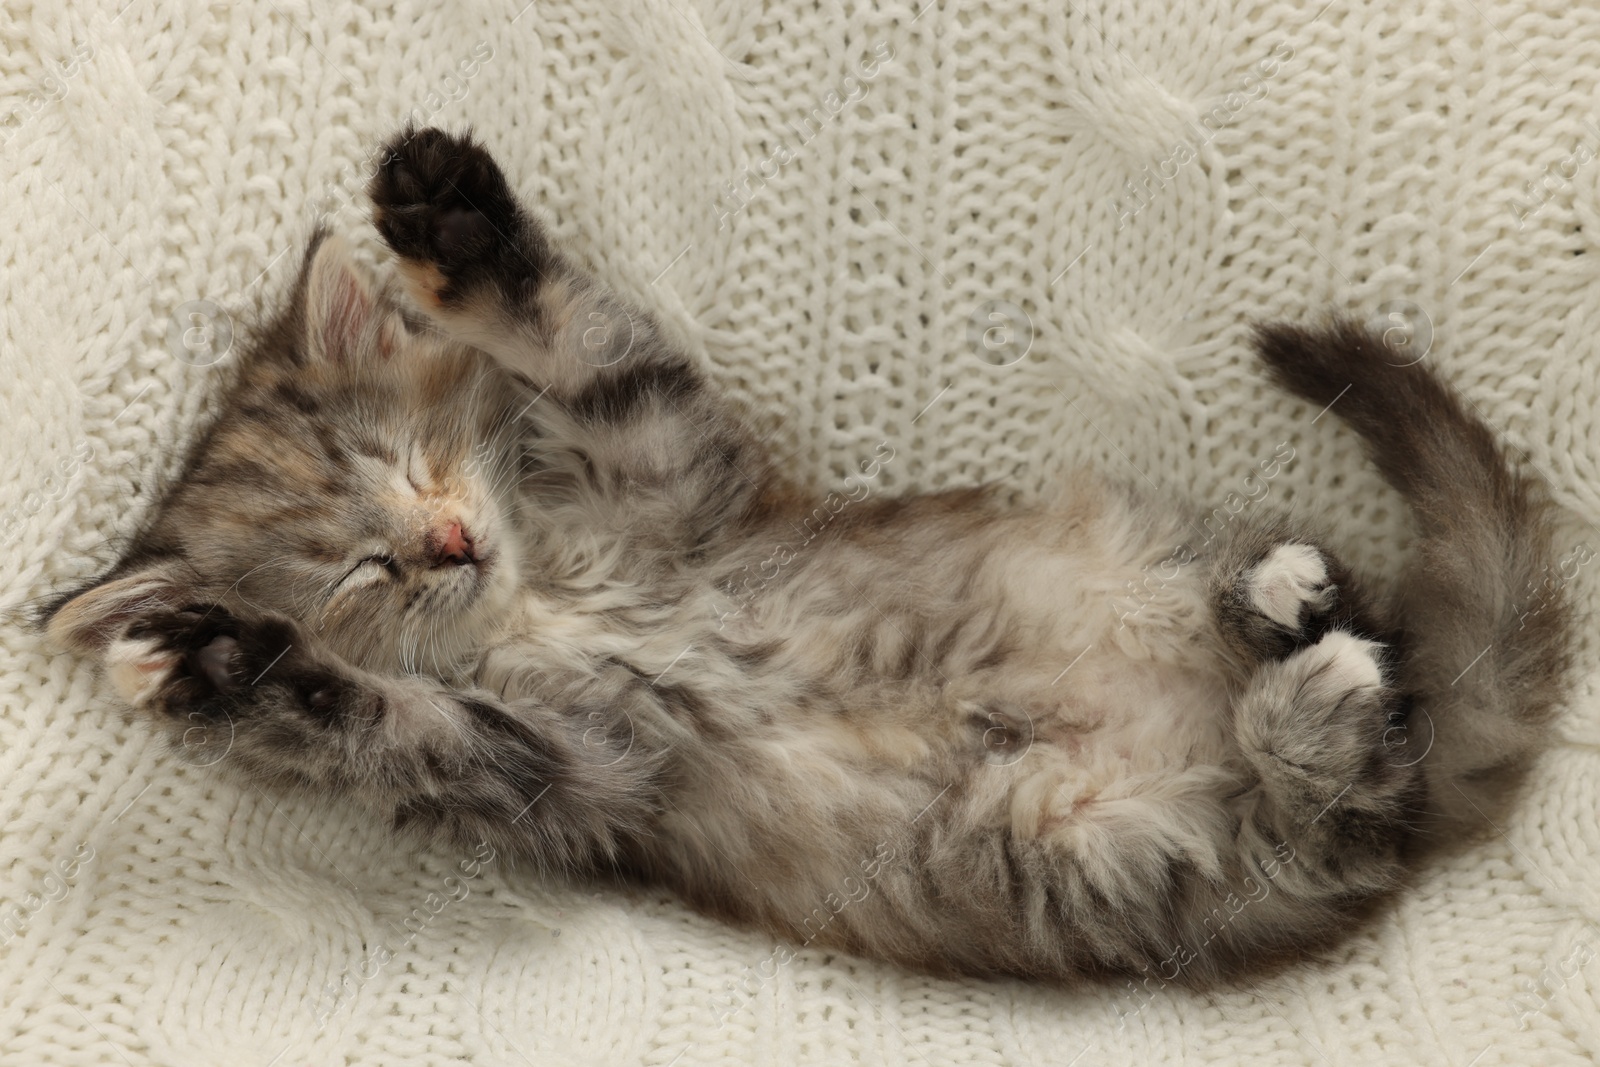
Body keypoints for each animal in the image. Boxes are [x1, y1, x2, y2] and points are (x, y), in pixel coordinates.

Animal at [40, 129, 1574, 991]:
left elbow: (582, 339)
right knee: (1355, 783)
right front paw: (224, 660)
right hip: (1122, 847)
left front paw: (452, 221)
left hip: (1144, 583)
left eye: (411, 464)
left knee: (1374, 687)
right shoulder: (573, 769)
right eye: (359, 571)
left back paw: (1285, 604)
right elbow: (389, 716)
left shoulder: (675, 469)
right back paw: (1311, 690)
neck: (543, 594)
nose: (448, 539)